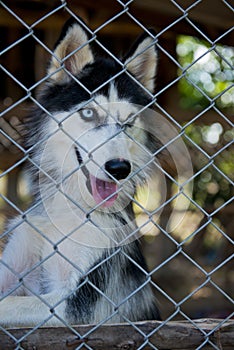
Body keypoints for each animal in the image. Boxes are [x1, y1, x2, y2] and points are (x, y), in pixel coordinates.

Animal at [0, 18, 161, 326]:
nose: (119, 168)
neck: (69, 209)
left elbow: (11, 303)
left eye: (129, 121)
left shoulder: (77, 306)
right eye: (88, 113)